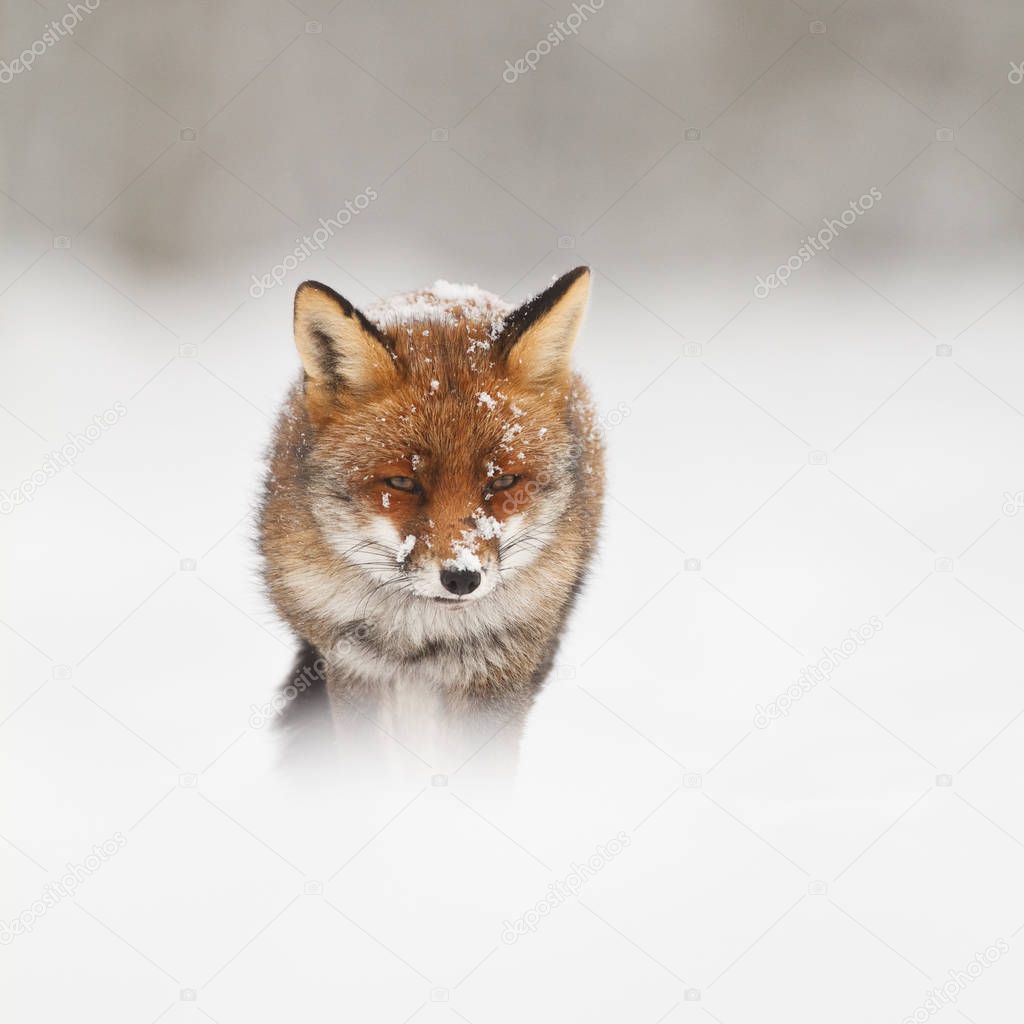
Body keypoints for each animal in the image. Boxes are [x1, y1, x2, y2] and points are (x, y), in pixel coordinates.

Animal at [260, 268, 602, 765]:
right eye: (402, 483)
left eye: (503, 481)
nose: (462, 577)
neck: (422, 635)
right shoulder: (353, 666)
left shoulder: (496, 672)